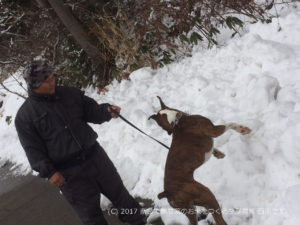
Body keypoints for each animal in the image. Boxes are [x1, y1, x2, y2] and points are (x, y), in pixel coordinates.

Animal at [148, 96, 251, 225]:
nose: (168, 132)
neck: (177, 120)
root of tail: (167, 192)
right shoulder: (213, 130)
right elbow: (230, 124)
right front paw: (243, 129)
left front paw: (218, 154)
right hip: (206, 195)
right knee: (219, 220)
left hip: (189, 210)